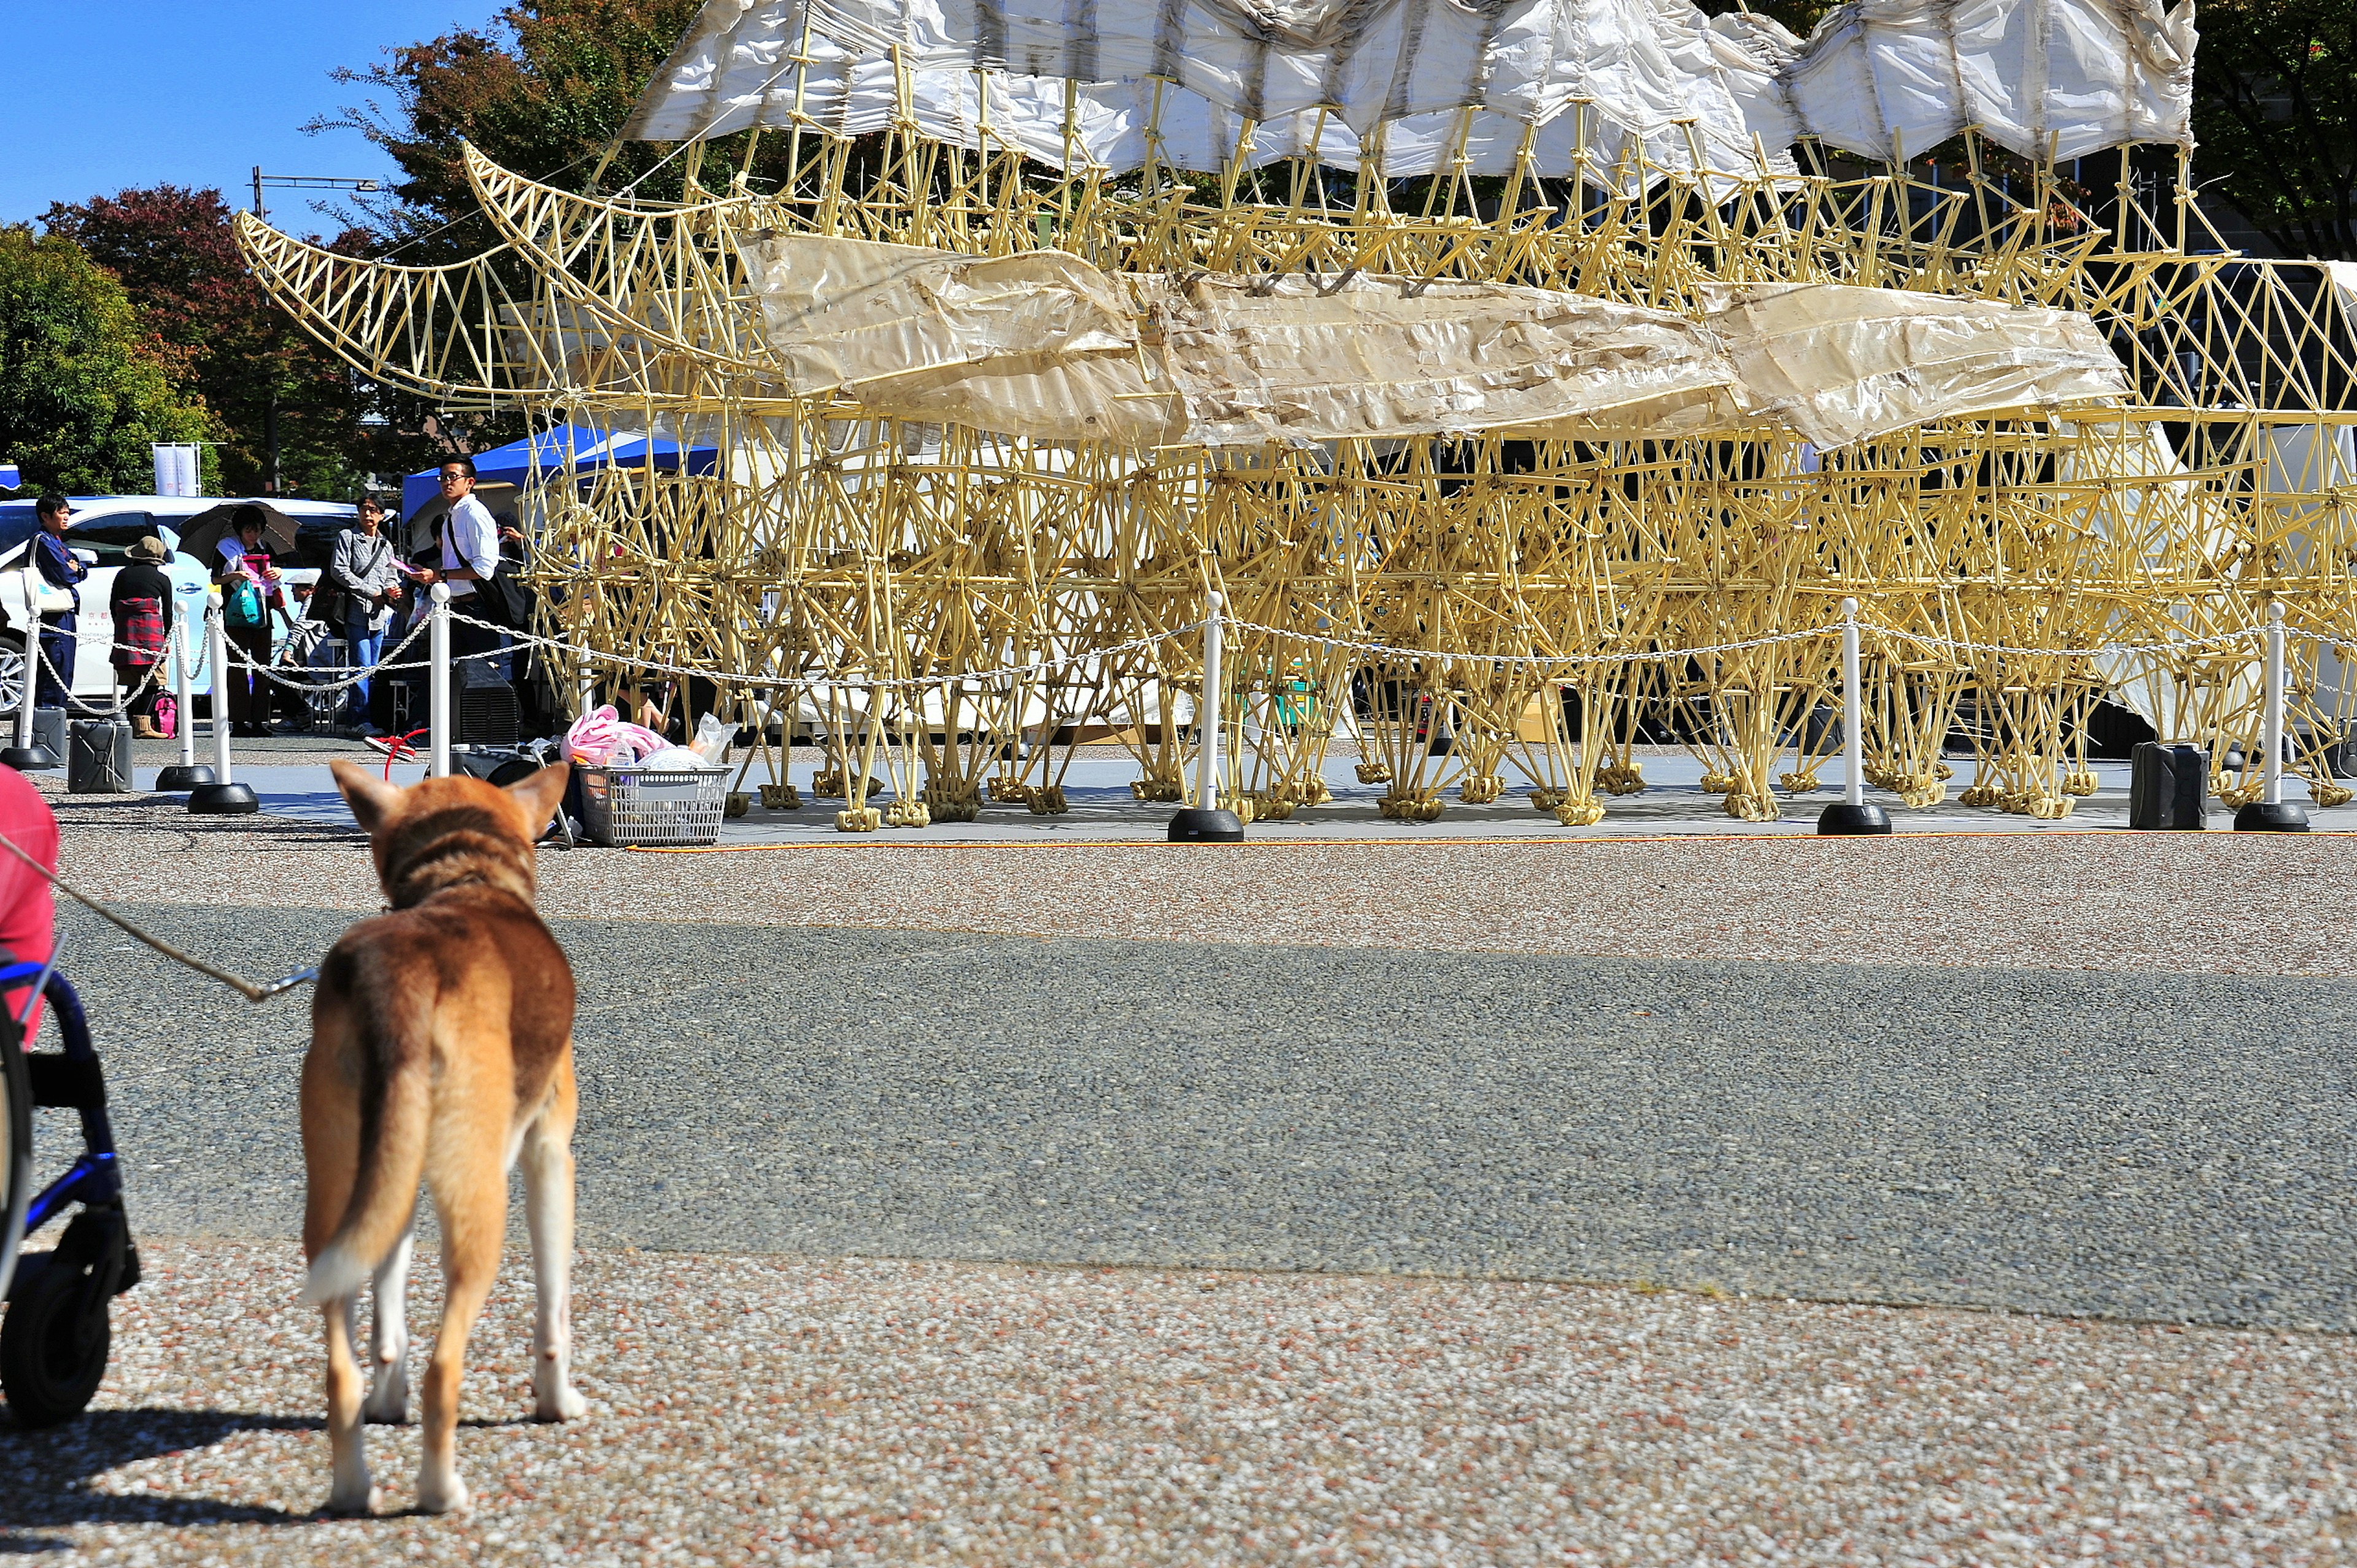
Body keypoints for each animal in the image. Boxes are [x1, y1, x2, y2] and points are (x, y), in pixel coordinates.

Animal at [306, 759, 587, 1518]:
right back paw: (440, 1489)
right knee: (445, 1363)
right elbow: (552, 1309)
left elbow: (388, 1327)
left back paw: (353, 1485)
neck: (464, 878)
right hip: (479, 1201)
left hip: (339, 1201)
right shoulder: (549, 1155)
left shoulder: (392, 1185)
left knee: (341, 1365)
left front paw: (386, 1400)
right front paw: (557, 1401)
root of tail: (406, 974)